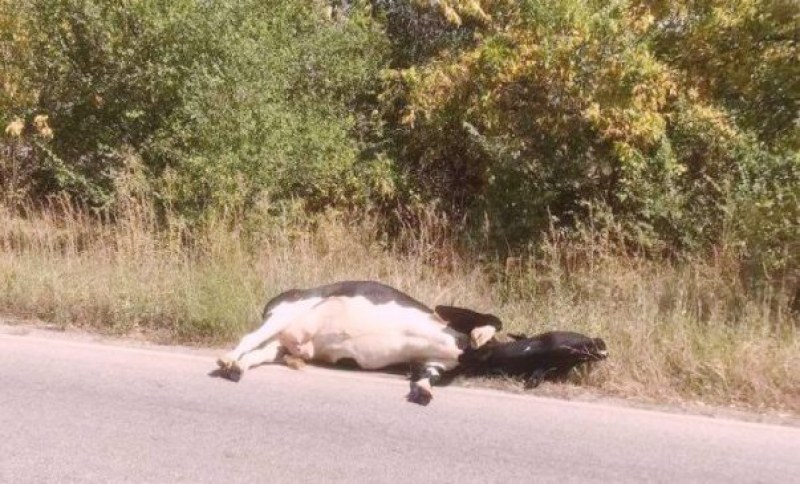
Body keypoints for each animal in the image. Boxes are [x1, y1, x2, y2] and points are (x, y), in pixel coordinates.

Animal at [214, 282, 500, 402]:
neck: (466, 354)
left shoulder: (430, 364)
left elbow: (425, 379)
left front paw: (423, 392)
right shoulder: (450, 312)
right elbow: (494, 319)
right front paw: (481, 334)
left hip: (279, 344)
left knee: (255, 355)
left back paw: (236, 369)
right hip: (286, 313)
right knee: (249, 338)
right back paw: (227, 359)